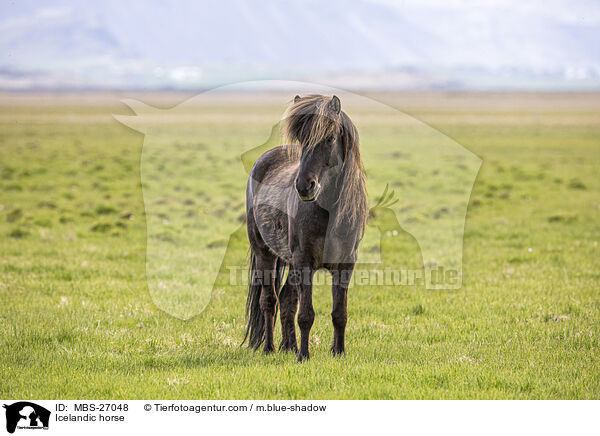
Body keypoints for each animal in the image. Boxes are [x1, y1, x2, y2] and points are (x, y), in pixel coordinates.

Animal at [243, 95, 366, 362]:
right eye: (301, 141)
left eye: (329, 139)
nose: (303, 186)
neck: (330, 213)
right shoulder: (305, 262)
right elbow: (306, 314)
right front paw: (304, 356)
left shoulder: (346, 264)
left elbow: (339, 314)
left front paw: (338, 352)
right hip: (264, 253)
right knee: (269, 300)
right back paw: (270, 348)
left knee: (287, 299)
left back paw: (289, 346)